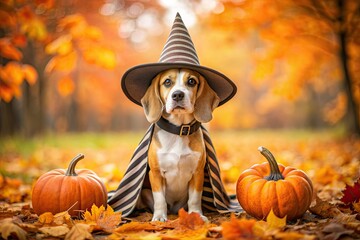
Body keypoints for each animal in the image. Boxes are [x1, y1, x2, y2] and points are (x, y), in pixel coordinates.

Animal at [138, 67, 219, 221]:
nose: (177, 95)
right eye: (167, 82)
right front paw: (159, 217)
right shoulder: (156, 173)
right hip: (145, 191)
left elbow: (194, 198)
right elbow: (160, 199)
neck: (178, 133)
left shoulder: (197, 173)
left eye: (192, 81)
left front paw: (196, 215)